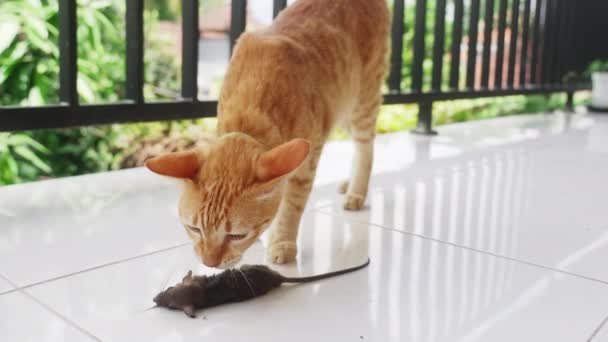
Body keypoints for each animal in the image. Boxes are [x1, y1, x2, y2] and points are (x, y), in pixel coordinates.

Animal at [145, 0, 388, 268]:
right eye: (194, 229)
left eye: (237, 235)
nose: (209, 264)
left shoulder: (305, 162)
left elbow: (291, 205)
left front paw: (281, 241)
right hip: (341, 108)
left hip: (361, 102)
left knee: (365, 147)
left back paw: (357, 191)